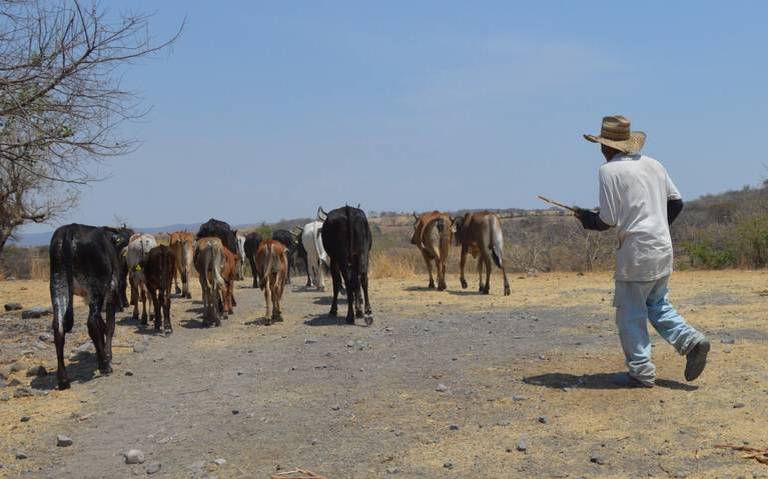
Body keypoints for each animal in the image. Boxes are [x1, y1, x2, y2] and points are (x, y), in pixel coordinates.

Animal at [48, 225, 127, 390]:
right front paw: (107, 355)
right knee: (91, 323)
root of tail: (70, 230)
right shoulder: (111, 292)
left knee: (58, 327)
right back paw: (105, 367)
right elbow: (109, 326)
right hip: (97, 288)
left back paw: (63, 379)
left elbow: (102, 325)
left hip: (58, 285)